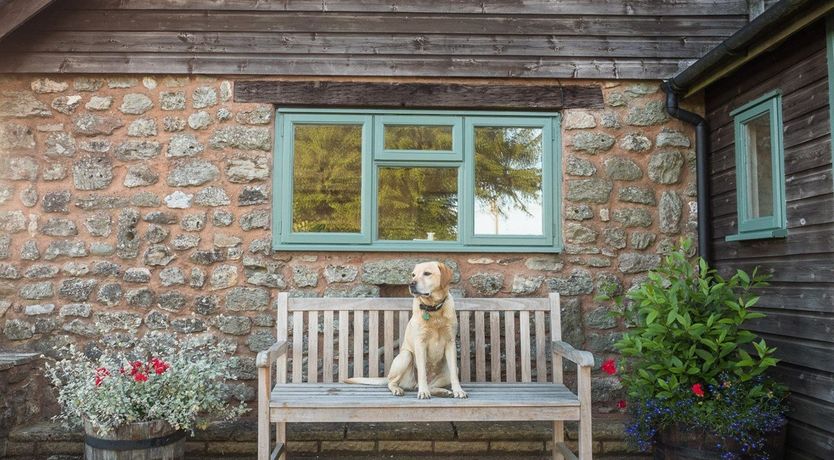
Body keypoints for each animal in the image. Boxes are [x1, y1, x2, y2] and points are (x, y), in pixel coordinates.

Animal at [342, 262, 464, 398]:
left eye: (427, 273)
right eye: (413, 275)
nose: (411, 283)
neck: (433, 310)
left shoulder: (450, 343)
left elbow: (454, 375)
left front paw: (458, 390)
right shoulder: (420, 343)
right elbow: (422, 372)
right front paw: (423, 392)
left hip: (447, 370)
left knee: (430, 385)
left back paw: (442, 391)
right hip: (406, 356)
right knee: (393, 382)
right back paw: (400, 389)